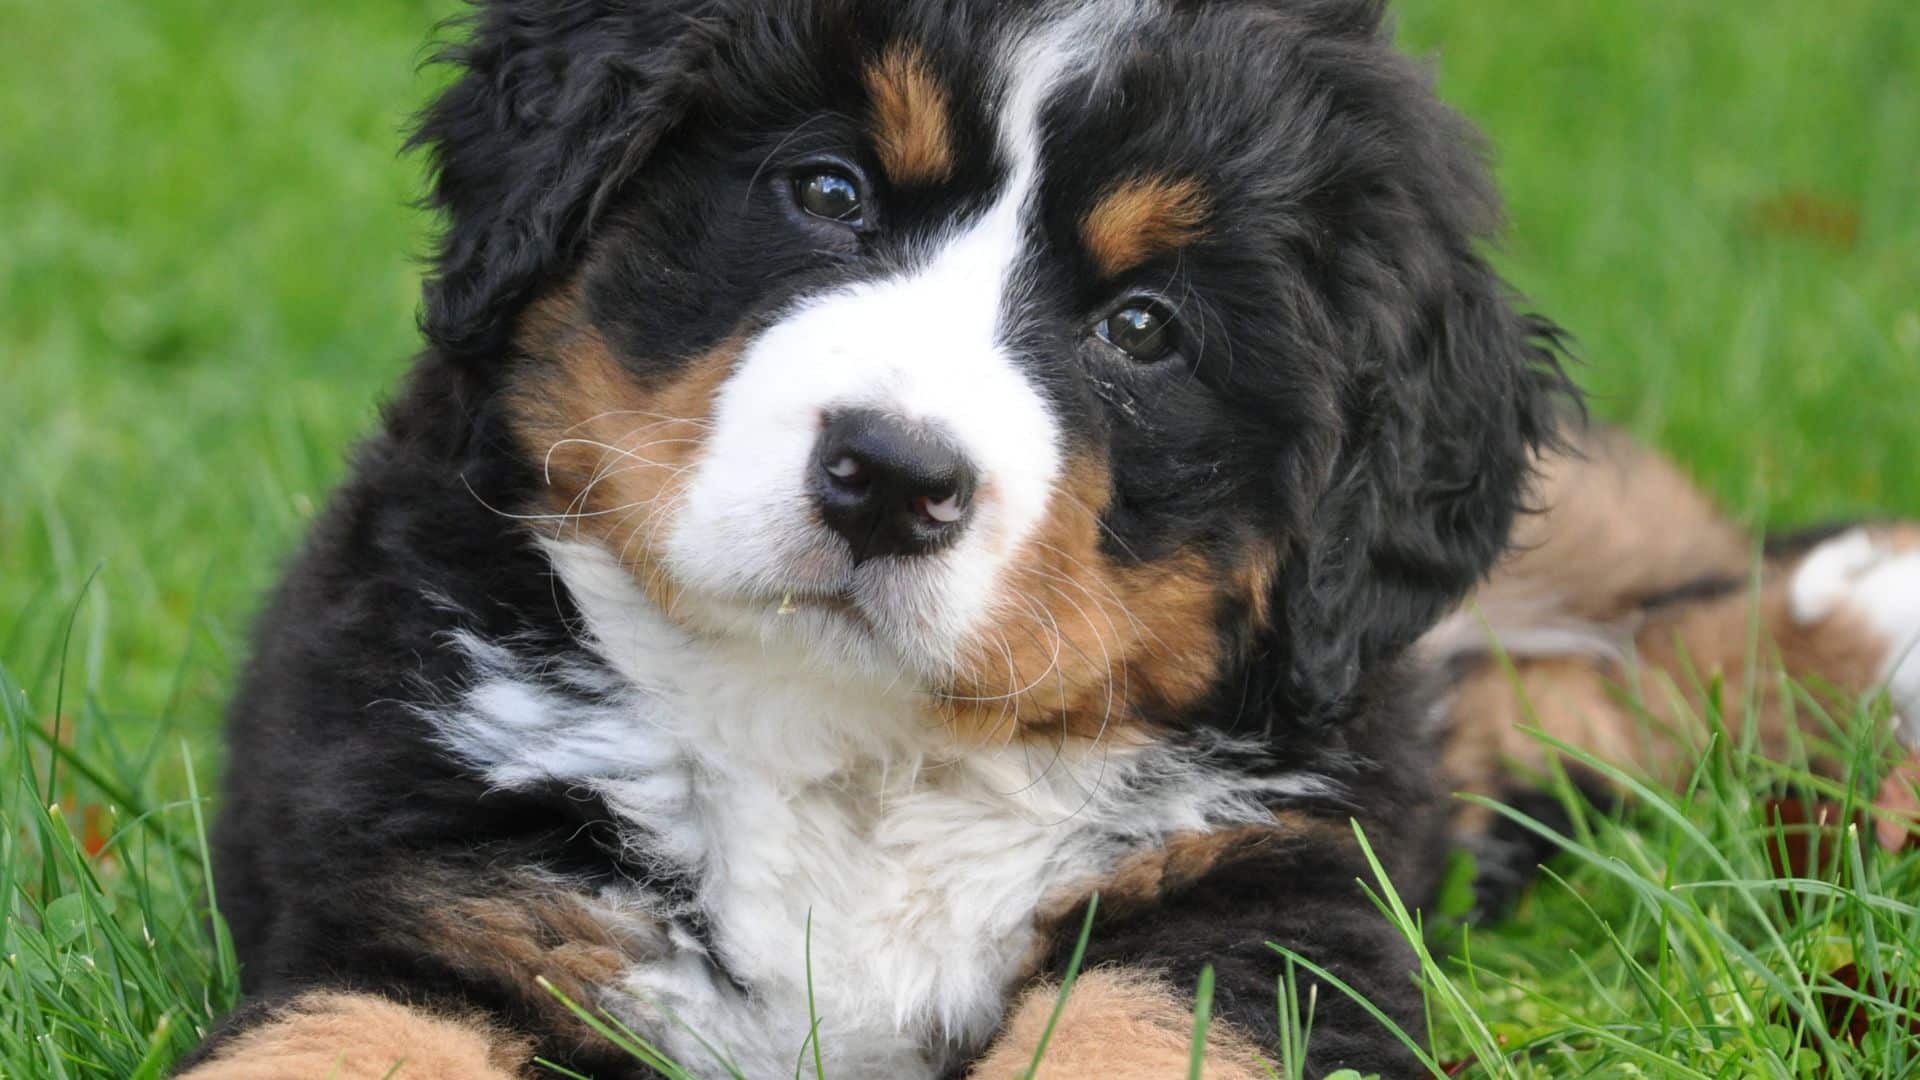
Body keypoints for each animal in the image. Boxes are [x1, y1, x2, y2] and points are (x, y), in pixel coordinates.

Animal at [183, 2, 1920, 1076]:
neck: (854, 756)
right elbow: (336, 1041)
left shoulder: (1266, 903)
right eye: (827, 190)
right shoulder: (439, 895)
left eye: (1143, 328)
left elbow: (1125, 1031)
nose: (889, 477)